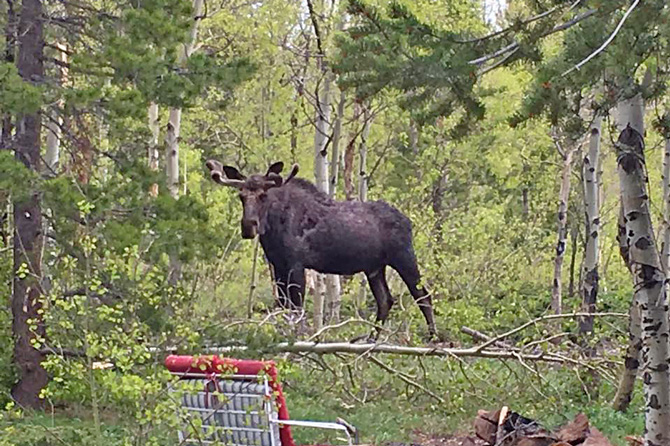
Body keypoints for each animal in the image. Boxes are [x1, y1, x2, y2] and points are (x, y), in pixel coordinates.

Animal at [209, 159, 440, 340]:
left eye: (263, 196)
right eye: (241, 196)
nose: (248, 225)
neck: (273, 227)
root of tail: (408, 221)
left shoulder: (296, 264)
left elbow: (297, 307)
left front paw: (299, 338)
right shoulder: (278, 265)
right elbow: (283, 306)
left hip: (404, 257)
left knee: (423, 295)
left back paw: (433, 337)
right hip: (374, 267)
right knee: (386, 300)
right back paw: (371, 339)